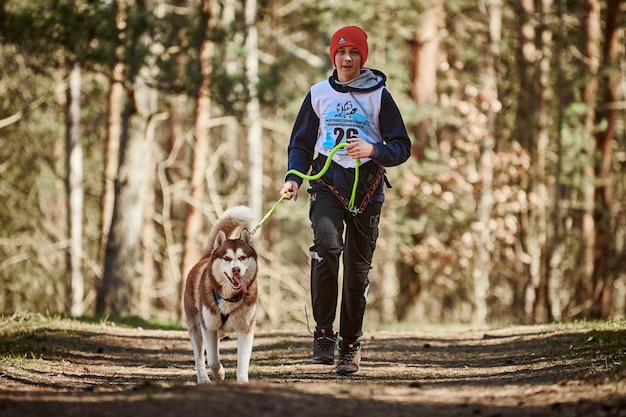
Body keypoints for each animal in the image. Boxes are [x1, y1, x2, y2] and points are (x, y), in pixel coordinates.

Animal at [182, 206, 258, 382]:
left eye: (242, 257)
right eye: (227, 258)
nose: (236, 270)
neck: (230, 298)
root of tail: (205, 257)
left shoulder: (245, 329)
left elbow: (243, 360)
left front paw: (242, 381)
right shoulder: (208, 328)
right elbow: (212, 360)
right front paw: (220, 373)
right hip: (195, 326)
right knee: (199, 355)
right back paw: (203, 378)